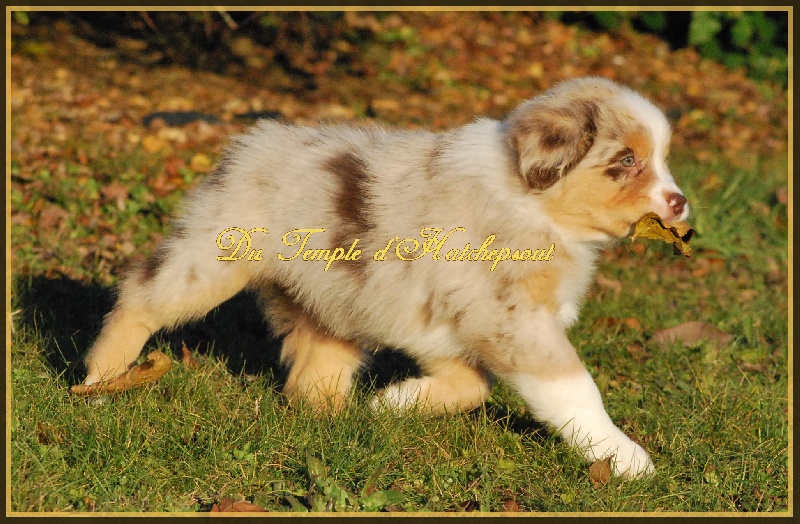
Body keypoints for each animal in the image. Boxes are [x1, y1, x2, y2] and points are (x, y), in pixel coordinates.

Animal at [86, 77, 688, 478]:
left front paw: (394, 403)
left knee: (313, 373)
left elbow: (472, 385)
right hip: (210, 258)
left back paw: (336, 426)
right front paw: (625, 457)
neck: (535, 203)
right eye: (626, 159)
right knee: (139, 295)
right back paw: (100, 378)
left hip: (333, 299)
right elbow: (574, 388)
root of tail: (250, 142)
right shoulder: (512, 320)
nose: (680, 203)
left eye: (660, 158)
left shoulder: (446, 319)